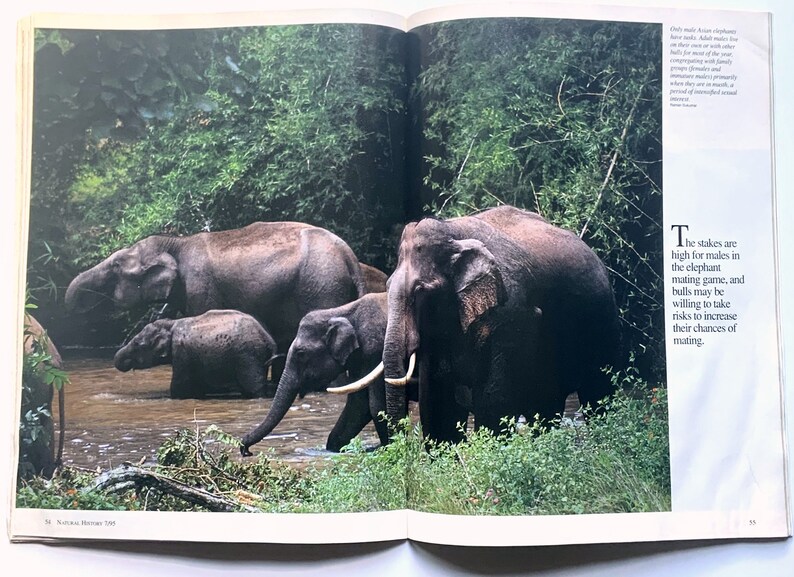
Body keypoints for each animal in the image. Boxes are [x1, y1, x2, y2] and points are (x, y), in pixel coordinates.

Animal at [65, 222, 367, 375]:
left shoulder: (201, 286)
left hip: (321, 287)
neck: (176, 242)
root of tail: (350, 257)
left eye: (116, 267)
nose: (74, 311)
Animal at [114, 310, 281, 399]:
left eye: (137, 344)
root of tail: (269, 340)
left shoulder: (181, 351)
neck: (171, 324)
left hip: (248, 355)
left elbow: (180, 385)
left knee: (253, 386)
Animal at [240, 292, 413, 455]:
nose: (246, 451)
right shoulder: (358, 359)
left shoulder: (375, 351)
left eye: (301, 353)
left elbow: (375, 405)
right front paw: (334, 450)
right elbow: (358, 403)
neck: (342, 311)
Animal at [382, 205, 621, 444]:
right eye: (387, 285)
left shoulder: (511, 314)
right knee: (546, 407)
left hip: (604, 321)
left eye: (421, 291)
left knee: (598, 393)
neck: (453, 231)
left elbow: (494, 402)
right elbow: (438, 407)